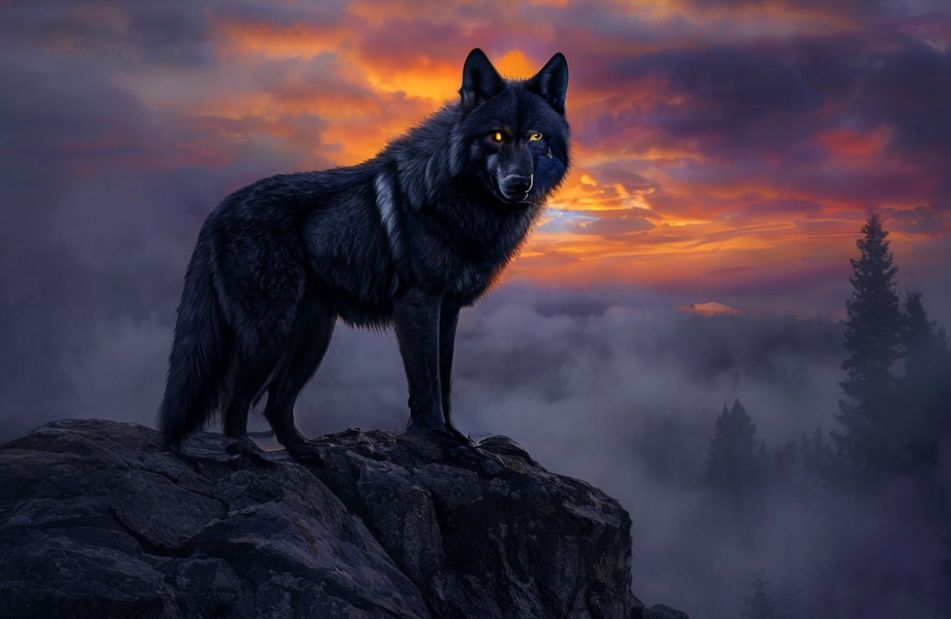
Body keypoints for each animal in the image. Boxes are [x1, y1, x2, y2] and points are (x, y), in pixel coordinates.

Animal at [158, 49, 570, 458]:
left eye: (536, 136)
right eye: (496, 136)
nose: (518, 184)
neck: (464, 200)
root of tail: (218, 210)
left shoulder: (449, 309)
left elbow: (445, 381)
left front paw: (454, 435)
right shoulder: (418, 303)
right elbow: (427, 383)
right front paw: (435, 437)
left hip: (312, 336)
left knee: (276, 404)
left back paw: (306, 450)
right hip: (270, 334)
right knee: (236, 399)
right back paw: (249, 453)